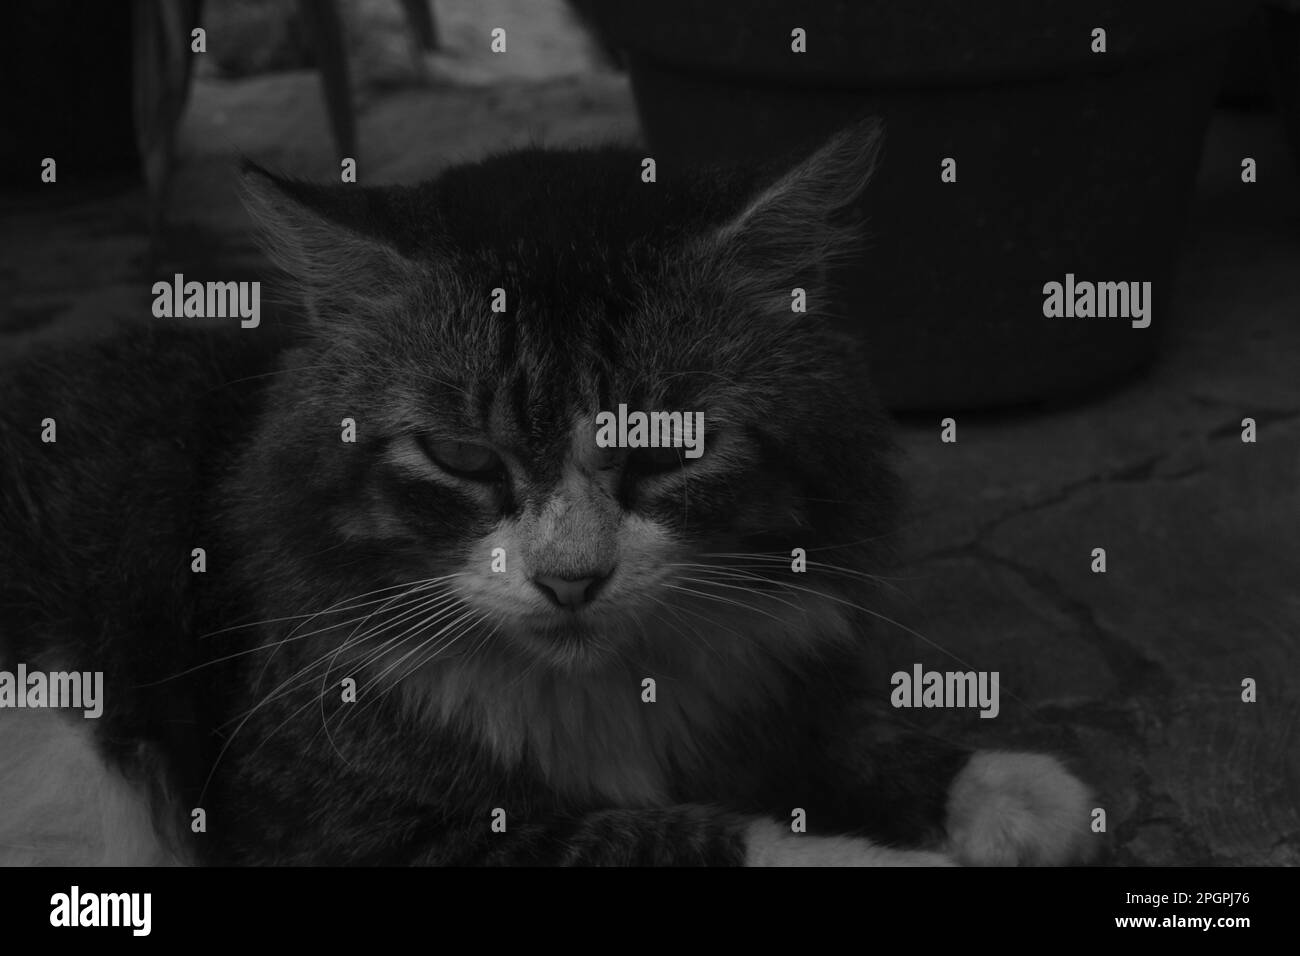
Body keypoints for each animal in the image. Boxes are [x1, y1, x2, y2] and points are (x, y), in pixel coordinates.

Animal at [0, 119, 1097, 868]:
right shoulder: (351, 828)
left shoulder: (758, 685)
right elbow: (704, 836)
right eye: (460, 457)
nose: (572, 580)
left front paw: (1014, 790)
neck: (603, 696)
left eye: (670, 450)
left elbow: (854, 734)